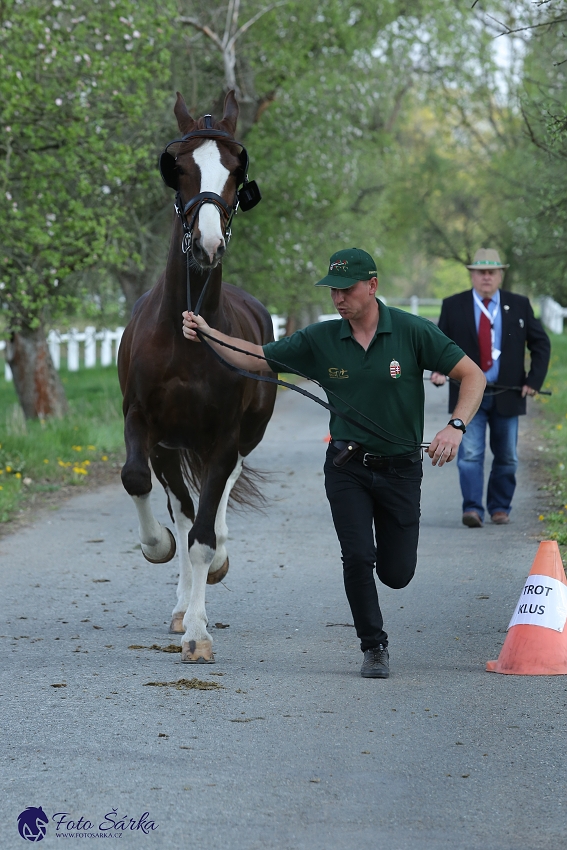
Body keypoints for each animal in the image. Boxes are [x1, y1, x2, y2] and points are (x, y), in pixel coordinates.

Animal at [118, 91, 278, 664]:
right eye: (180, 167)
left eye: (235, 169)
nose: (208, 244)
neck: (186, 335)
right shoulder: (142, 422)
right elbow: (139, 483)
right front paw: (157, 547)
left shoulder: (223, 438)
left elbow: (206, 534)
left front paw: (199, 634)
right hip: (170, 446)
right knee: (182, 509)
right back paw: (182, 599)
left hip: (240, 438)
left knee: (217, 500)